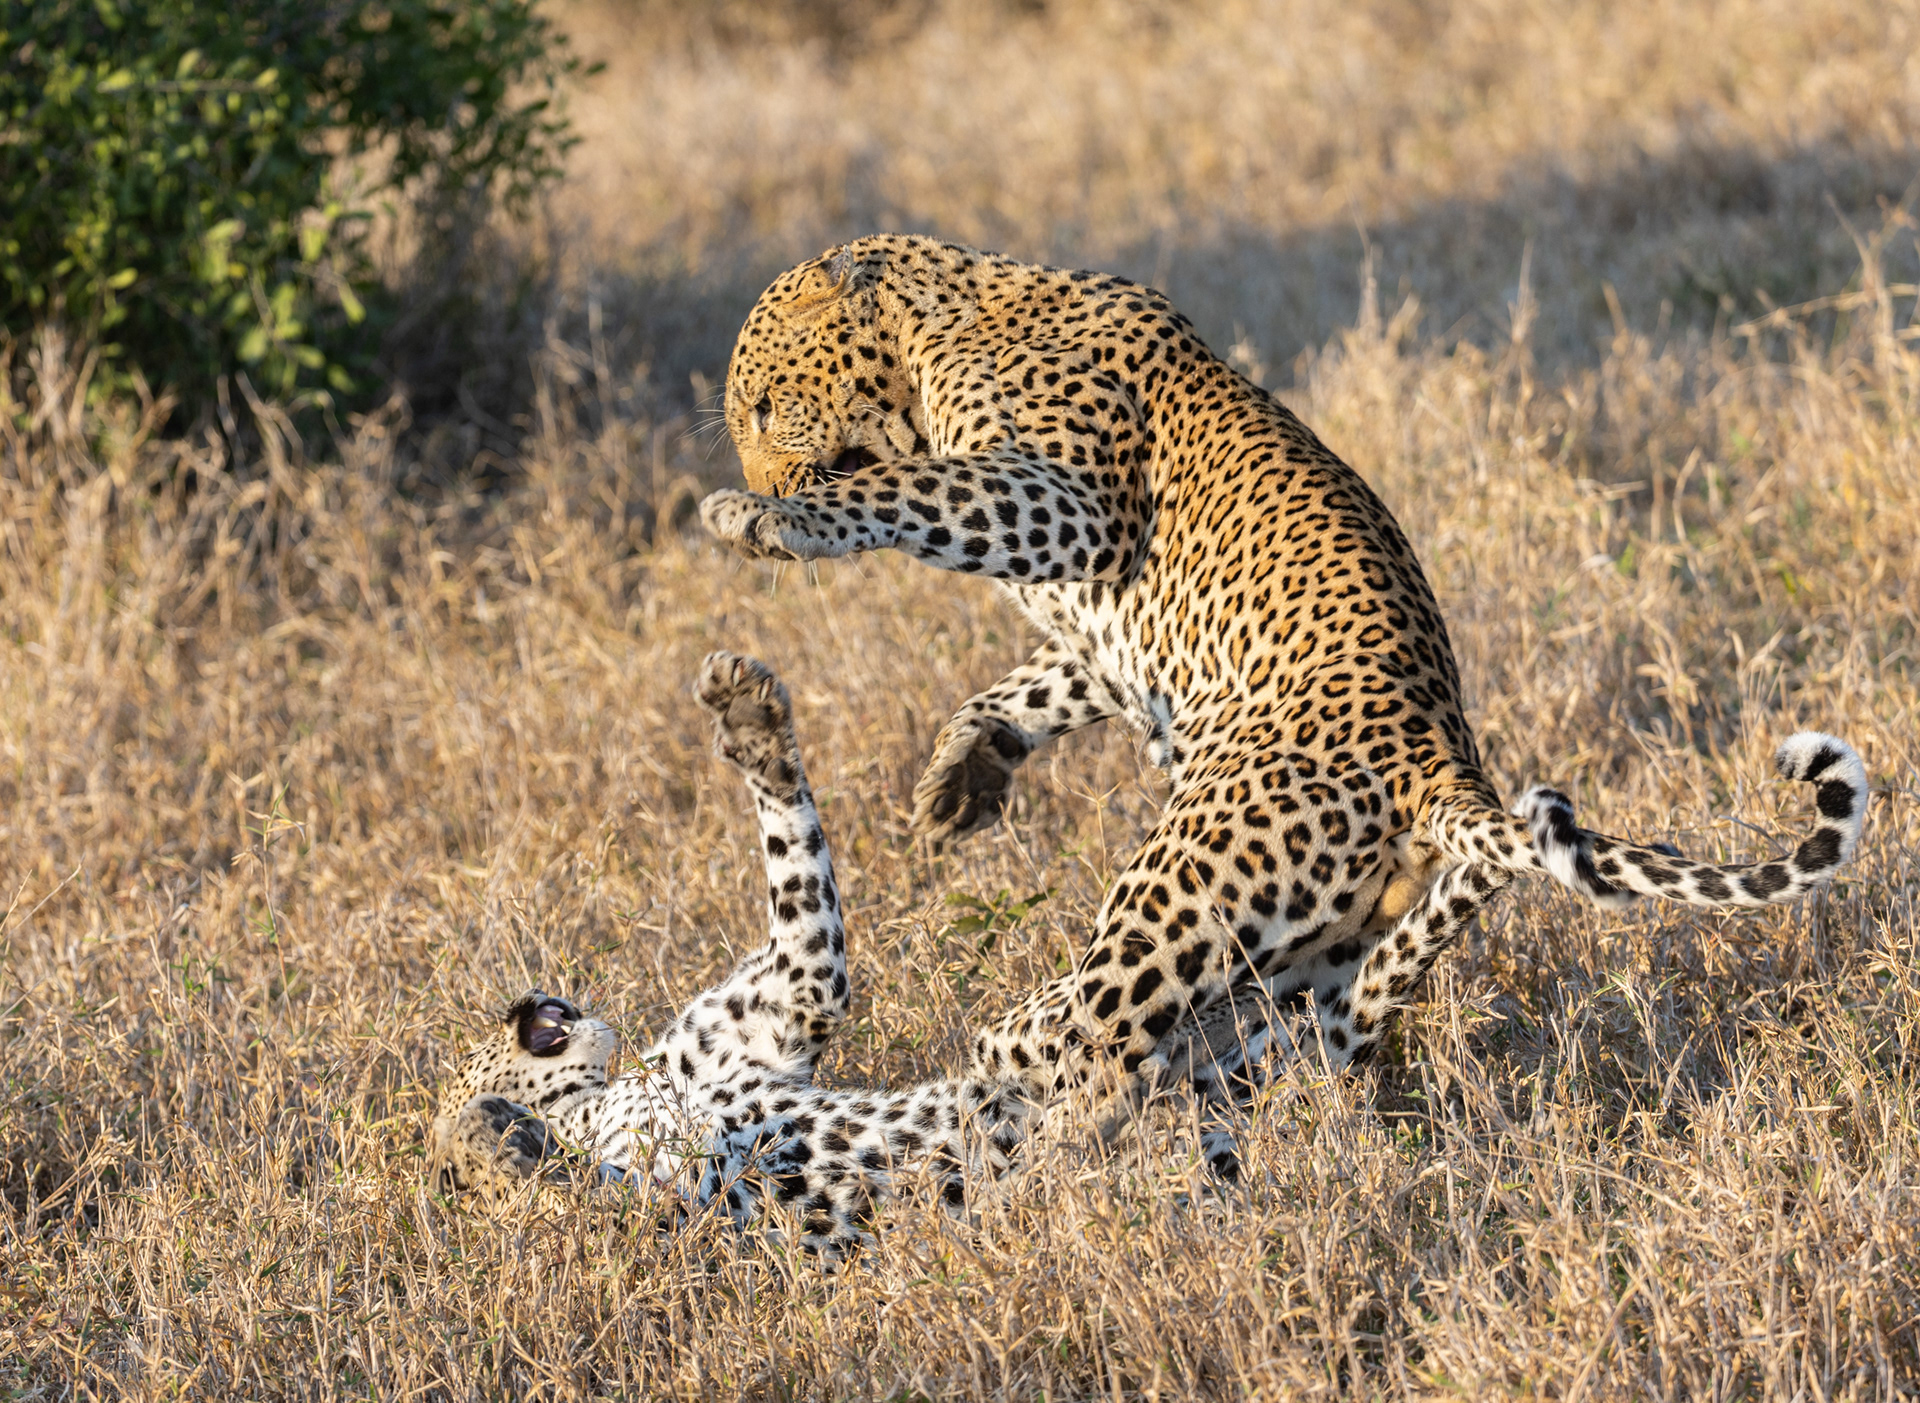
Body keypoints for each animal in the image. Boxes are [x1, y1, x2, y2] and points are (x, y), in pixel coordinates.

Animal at [430, 651, 1032, 1257]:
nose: (530, 996)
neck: (585, 1104)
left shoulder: (791, 990)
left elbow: (793, 852)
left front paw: (749, 717)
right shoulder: (699, 1221)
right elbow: (618, 1211)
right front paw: (494, 1137)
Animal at [699, 232, 1871, 1176]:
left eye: (763, 406)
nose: (758, 471)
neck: (939, 318)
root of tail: (1436, 762)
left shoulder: (1062, 498)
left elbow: (897, 492)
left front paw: (769, 515)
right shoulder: (1111, 636)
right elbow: (1047, 674)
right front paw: (968, 764)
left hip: (1175, 899)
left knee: (1101, 1060)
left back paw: (1014, 1154)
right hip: (1297, 968)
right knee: (1199, 1053)